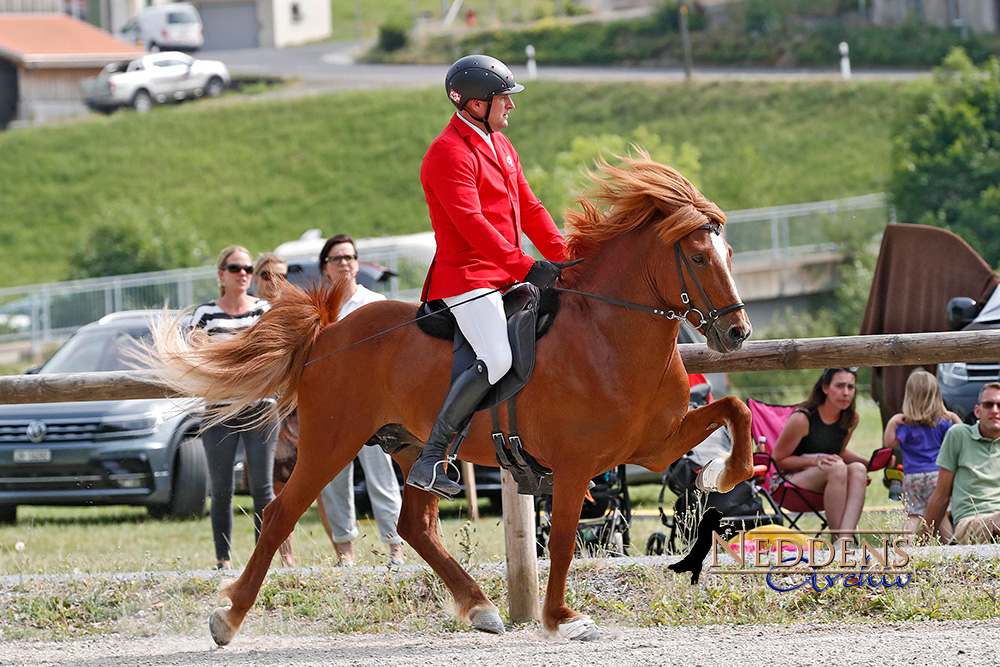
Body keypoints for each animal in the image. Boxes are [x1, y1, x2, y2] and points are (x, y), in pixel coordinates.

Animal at [148, 154, 752, 644]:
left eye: (728, 250)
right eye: (699, 259)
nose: (737, 333)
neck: (609, 333)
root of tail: (329, 332)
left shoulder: (653, 446)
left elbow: (735, 409)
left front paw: (726, 471)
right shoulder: (576, 464)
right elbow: (559, 542)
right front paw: (561, 619)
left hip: (411, 447)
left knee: (414, 526)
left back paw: (480, 607)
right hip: (331, 442)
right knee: (279, 516)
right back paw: (228, 619)